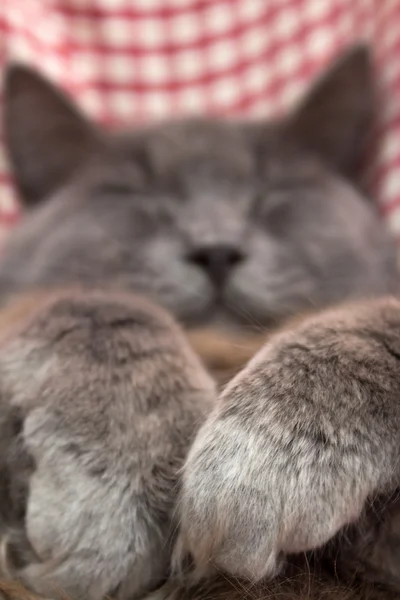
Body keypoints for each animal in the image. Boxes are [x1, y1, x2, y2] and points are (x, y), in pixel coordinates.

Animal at [0, 45, 398, 600]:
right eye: (136, 195)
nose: (216, 248)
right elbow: (95, 307)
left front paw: (260, 459)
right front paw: (113, 490)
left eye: (274, 193)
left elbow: (371, 322)